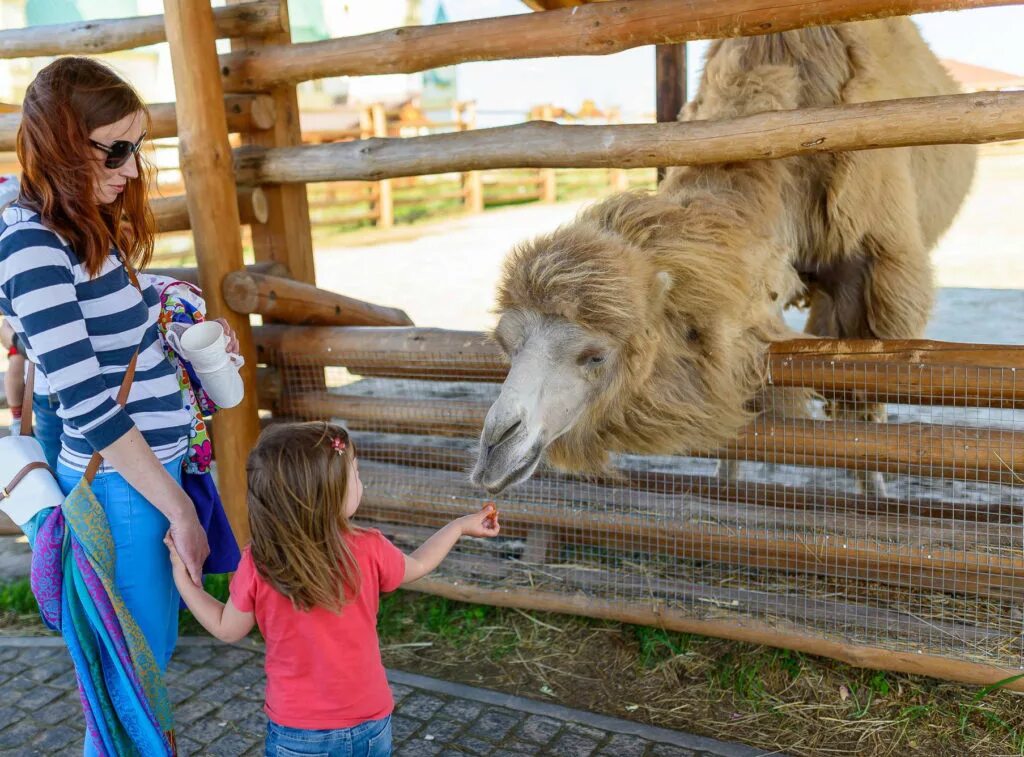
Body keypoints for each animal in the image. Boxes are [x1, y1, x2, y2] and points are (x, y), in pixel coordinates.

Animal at [468, 19, 974, 497]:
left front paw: (875, 494)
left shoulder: (870, 269)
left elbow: (863, 399)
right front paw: (726, 487)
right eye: (507, 344)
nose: (495, 446)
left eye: (595, 356)